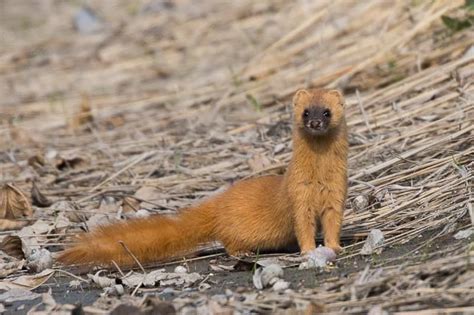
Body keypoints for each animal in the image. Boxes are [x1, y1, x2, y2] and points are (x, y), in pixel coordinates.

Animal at [59, 89, 348, 266]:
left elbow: (332, 223)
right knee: (228, 242)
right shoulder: (299, 195)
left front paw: (335, 247)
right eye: (306, 112)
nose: (315, 123)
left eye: (326, 112)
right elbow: (303, 225)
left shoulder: (337, 193)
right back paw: (242, 251)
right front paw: (309, 250)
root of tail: (217, 204)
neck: (319, 180)